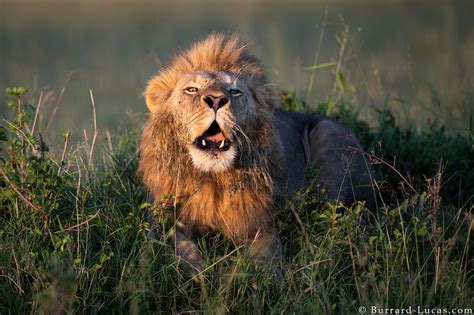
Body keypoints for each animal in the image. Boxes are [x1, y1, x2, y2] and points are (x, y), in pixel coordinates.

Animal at [139, 33, 376, 276]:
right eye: (191, 90)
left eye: (234, 92)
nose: (216, 100)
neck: (212, 179)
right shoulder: (159, 220)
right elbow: (180, 248)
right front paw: (198, 274)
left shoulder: (260, 224)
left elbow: (265, 258)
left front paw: (249, 278)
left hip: (328, 136)